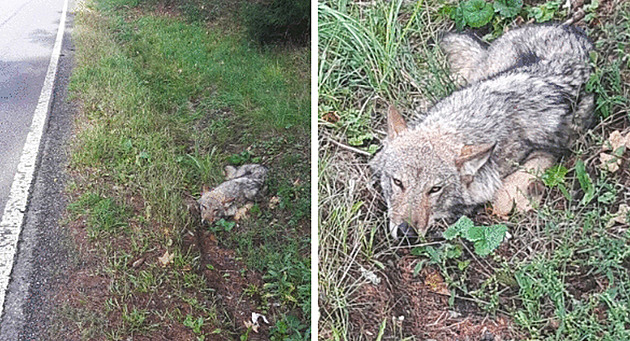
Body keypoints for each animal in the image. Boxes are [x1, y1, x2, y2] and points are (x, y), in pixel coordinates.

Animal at [368, 23, 596, 238]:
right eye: (398, 182)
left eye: (434, 189)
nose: (407, 232)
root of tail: (570, 28)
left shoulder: (549, 149)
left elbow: (505, 194)